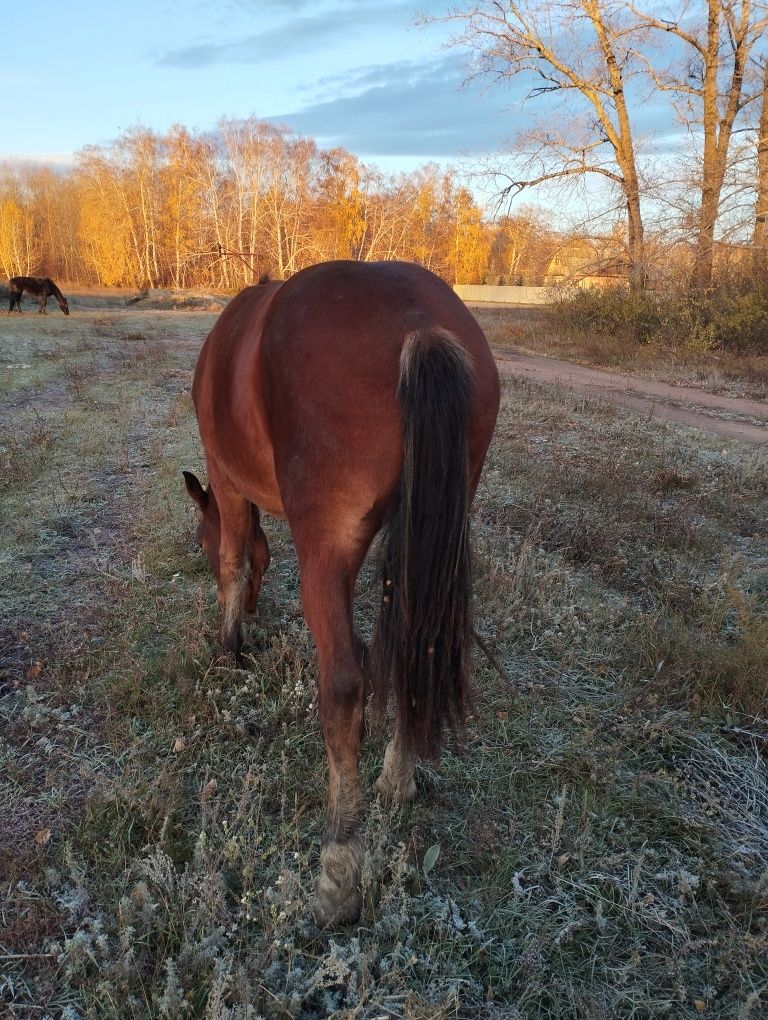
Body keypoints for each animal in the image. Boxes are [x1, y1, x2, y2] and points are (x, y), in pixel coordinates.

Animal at [183, 257, 499, 926]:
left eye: (197, 541)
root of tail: (417, 326)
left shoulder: (228, 479)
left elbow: (234, 558)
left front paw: (230, 644)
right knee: (411, 651)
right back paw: (396, 781)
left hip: (325, 551)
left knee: (345, 687)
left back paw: (338, 874)